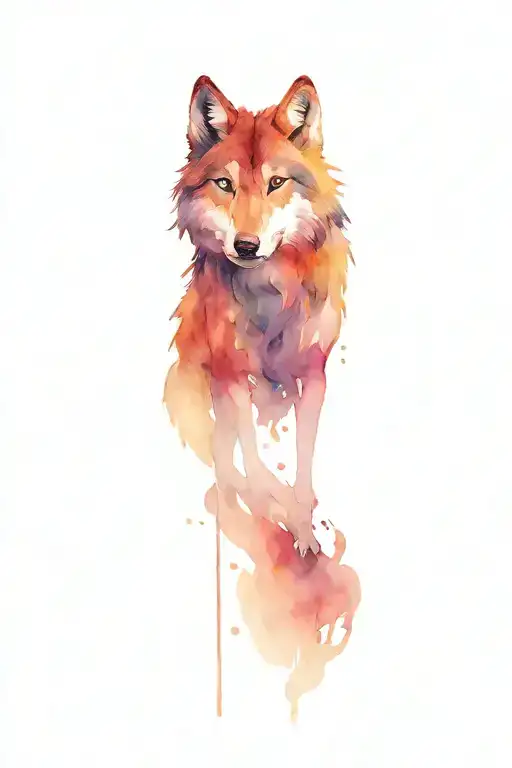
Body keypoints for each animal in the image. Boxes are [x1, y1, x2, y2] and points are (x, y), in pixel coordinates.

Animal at [164, 75, 352, 555]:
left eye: (277, 182)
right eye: (224, 184)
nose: (246, 246)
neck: (269, 294)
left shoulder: (314, 376)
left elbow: (302, 463)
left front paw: (304, 531)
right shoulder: (232, 373)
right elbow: (248, 453)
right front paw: (268, 502)